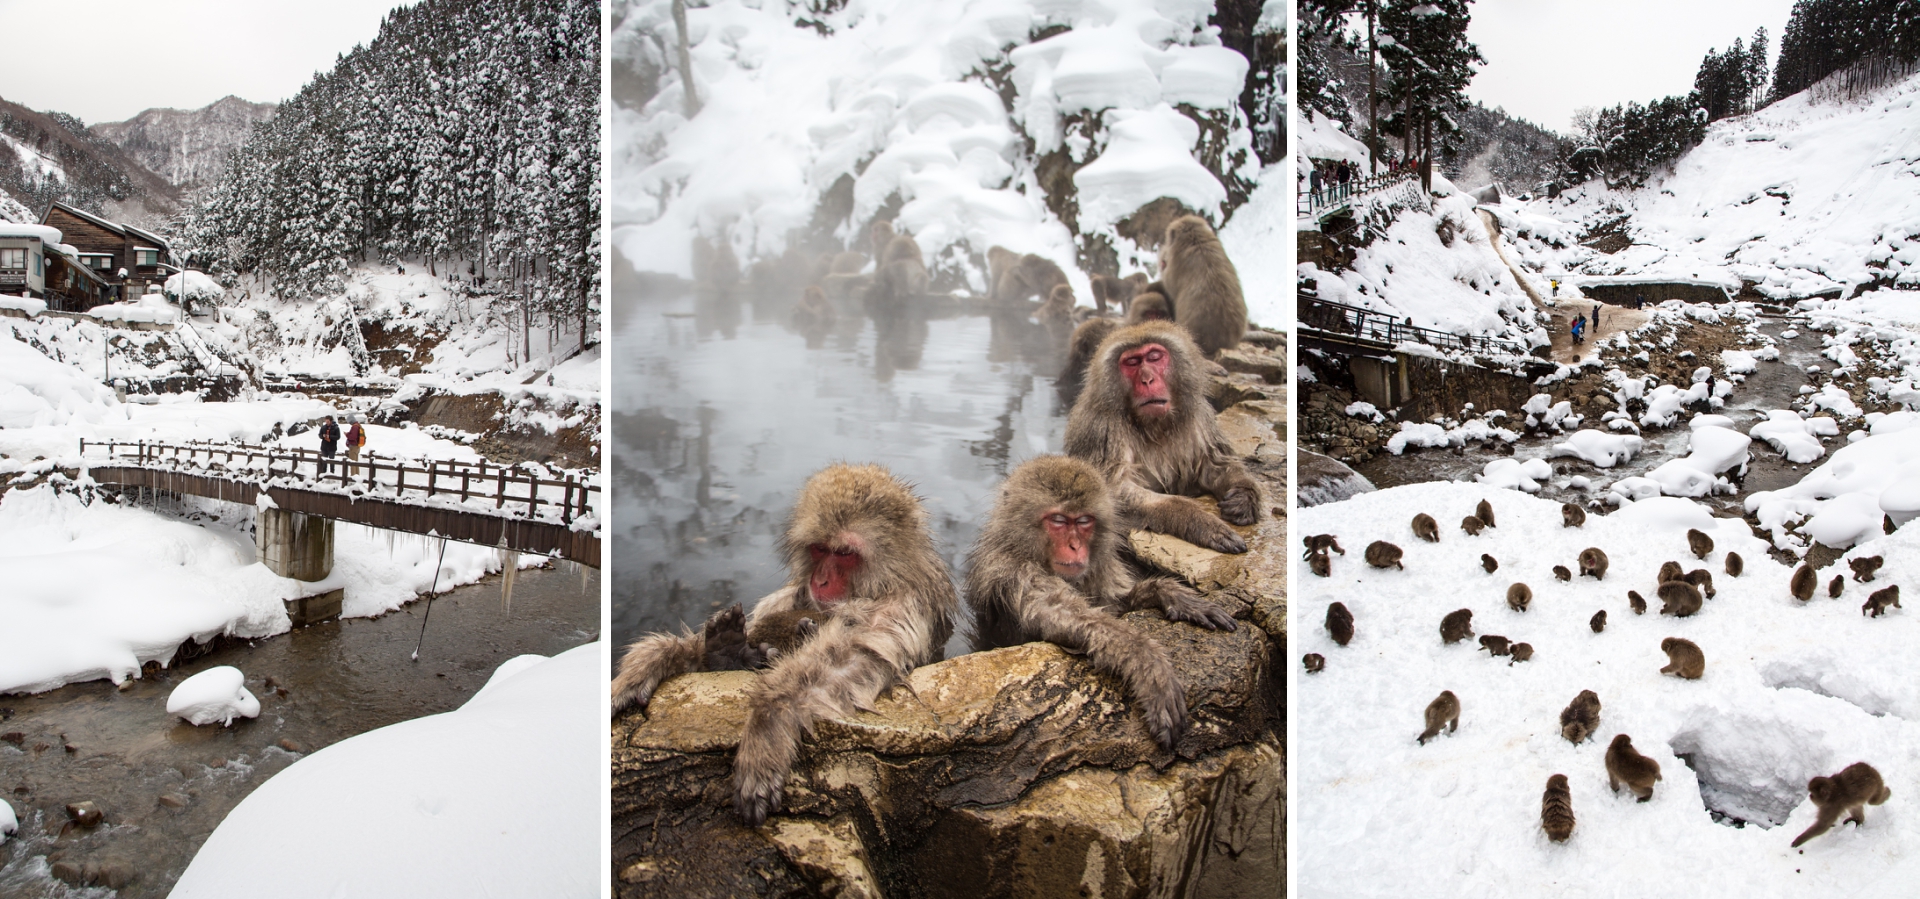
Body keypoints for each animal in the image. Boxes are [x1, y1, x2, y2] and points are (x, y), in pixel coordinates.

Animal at [610, 462, 960, 822]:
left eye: (844, 553)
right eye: (819, 549)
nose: (820, 580)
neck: (883, 582)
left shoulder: (903, 605)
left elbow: (853, 660)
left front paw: (770, 721)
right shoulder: (790, 595)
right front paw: (654, 660)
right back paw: (727, 651)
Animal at [967, 457, 1236, 753]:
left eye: (1084, 521)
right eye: (1059, 521)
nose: (1075, 546)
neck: (1027, 551)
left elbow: (1112, 604)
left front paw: (1166, 593)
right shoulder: (1016, 573)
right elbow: (1067, 615)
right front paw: (1148, 663)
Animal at [1059, 318, 1267, 553]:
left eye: (1154, 357)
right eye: (1132, 362)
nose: (1147, 380)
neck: (1153, 425)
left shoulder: (1199, 416)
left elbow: (1216, 465)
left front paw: (1245, 496)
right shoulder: (1101, 429)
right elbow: (1107, 491)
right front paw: (1197, 520)